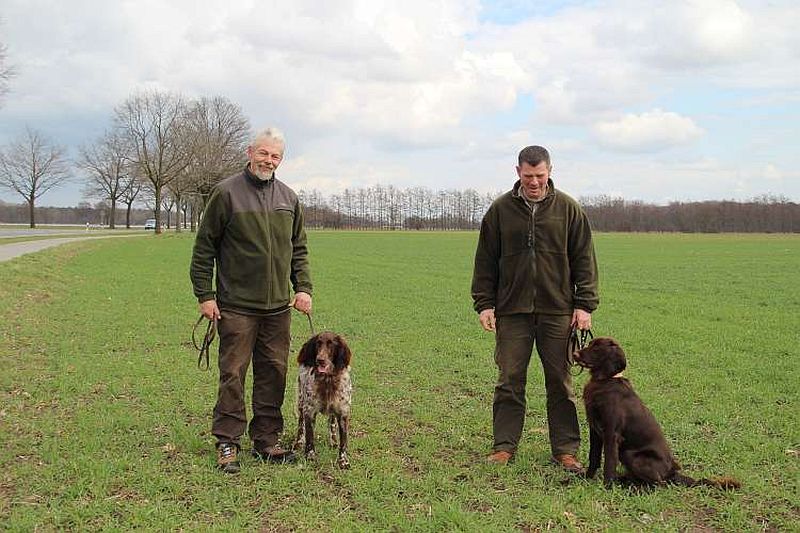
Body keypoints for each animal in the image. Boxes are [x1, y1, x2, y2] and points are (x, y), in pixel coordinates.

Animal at [294, 331, 353, 469]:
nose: (320, 360)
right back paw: (299, 442)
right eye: (318, 343)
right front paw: (310, 456)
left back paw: (333, 440)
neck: (328, 380)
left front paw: (343, 461)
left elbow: (343, 441)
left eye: (331, 344)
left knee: (331, 422)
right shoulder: (309, 411)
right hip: (301, 401)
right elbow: (310, 437)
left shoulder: (343, 412)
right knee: (300, 424)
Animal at [573, 337, 739, 489]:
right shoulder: (595, 430)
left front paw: (607, 487)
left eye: (596, 348)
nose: (574, 354)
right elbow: (593, 457)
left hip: (632, 455)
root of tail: (673, 473)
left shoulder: (612, 434)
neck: (605, 380)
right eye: (589, 344)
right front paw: (587, 478)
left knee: (659, 484)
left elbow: (609, 463)